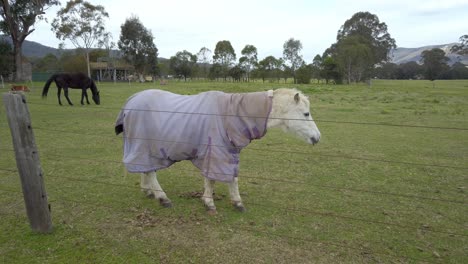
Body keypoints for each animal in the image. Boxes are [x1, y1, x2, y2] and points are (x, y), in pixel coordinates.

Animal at [116, 87, 322, 213]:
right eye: (306, 113)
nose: (317, 138)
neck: (231, 115)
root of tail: (130, 102)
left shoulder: (228, 153)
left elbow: (232, 178)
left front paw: (236, 202)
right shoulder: (215, 152)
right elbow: (212, 179)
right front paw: (209, 202)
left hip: (145, 148)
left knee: (146, 168)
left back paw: (148, 191)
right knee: (150, 172)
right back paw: (162, 197)